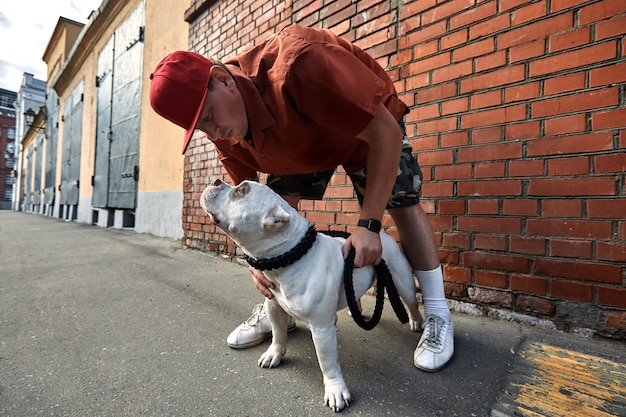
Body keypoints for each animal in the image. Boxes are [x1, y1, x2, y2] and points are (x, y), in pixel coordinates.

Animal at [202, 179, 422, 410]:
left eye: (240, 191)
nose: (216, 180)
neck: (290, 256)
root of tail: (382, 234)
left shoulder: (321, 328)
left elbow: (327, 361)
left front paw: (335, 390)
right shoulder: (274, 307)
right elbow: (278, 334)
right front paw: (274, 354)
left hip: (403, 281)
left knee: (412, 303)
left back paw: (417, 323)